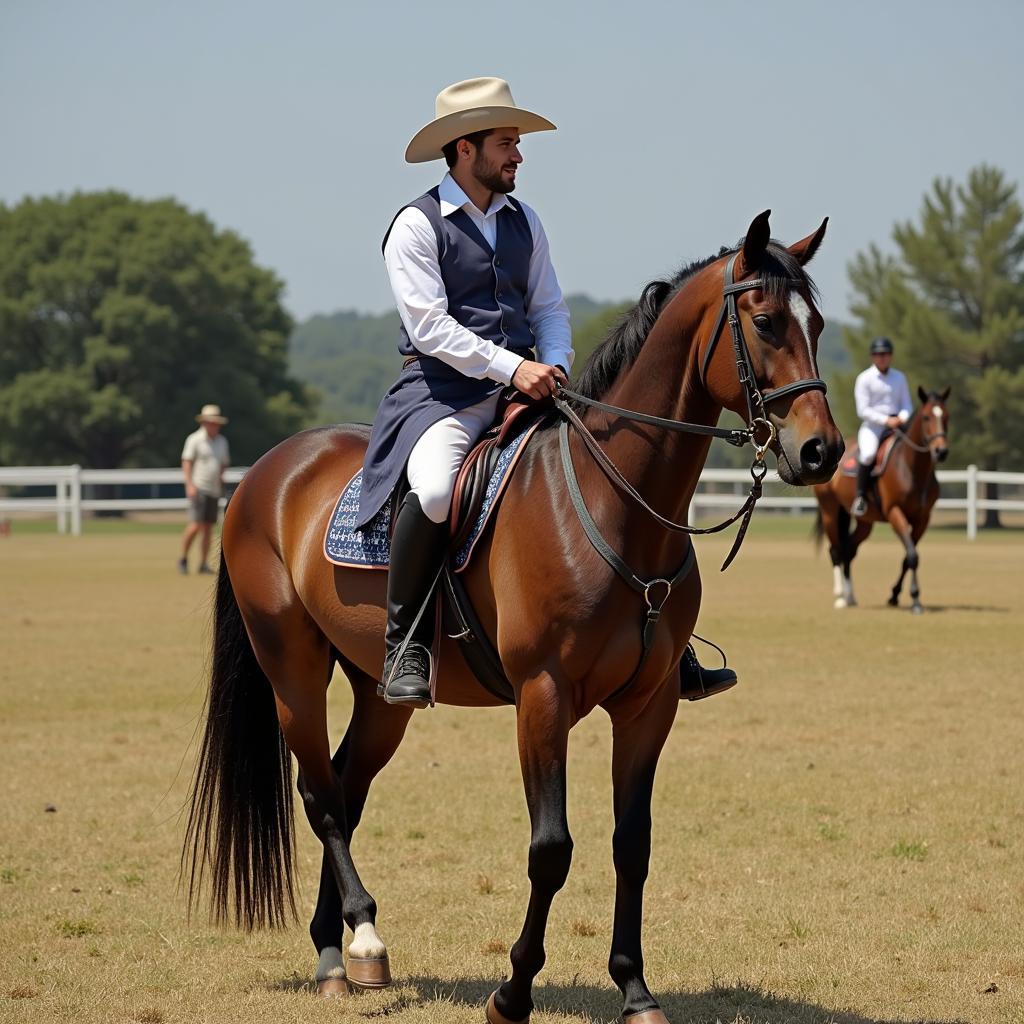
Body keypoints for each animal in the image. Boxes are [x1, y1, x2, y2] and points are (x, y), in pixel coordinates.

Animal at [182, 209, 839, 1024]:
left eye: (819, 324)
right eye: (766, 321)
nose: (821, 451)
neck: (613, 503)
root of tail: (265, 473)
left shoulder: (649, 704)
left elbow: (633, 844)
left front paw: (635, 989)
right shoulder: (543, 697)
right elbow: (551, 848)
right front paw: (514, 989)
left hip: (380, 694)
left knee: (347, 786)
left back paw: (336, 953)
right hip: (293, 671)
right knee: (321, 797)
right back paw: (362, 938)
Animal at [815, 389, 950, 614]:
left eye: (947, 416)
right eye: (926, 417)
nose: (941, 451)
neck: (911, 468)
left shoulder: (922, 519)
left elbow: (908, 557)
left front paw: (896, 595)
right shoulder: (895, 513)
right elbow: (912, 556)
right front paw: (914, 599)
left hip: (865, 522)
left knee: (849, 550)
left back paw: (851, 597)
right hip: (830, 511)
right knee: (836, 550)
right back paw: (841, 597)